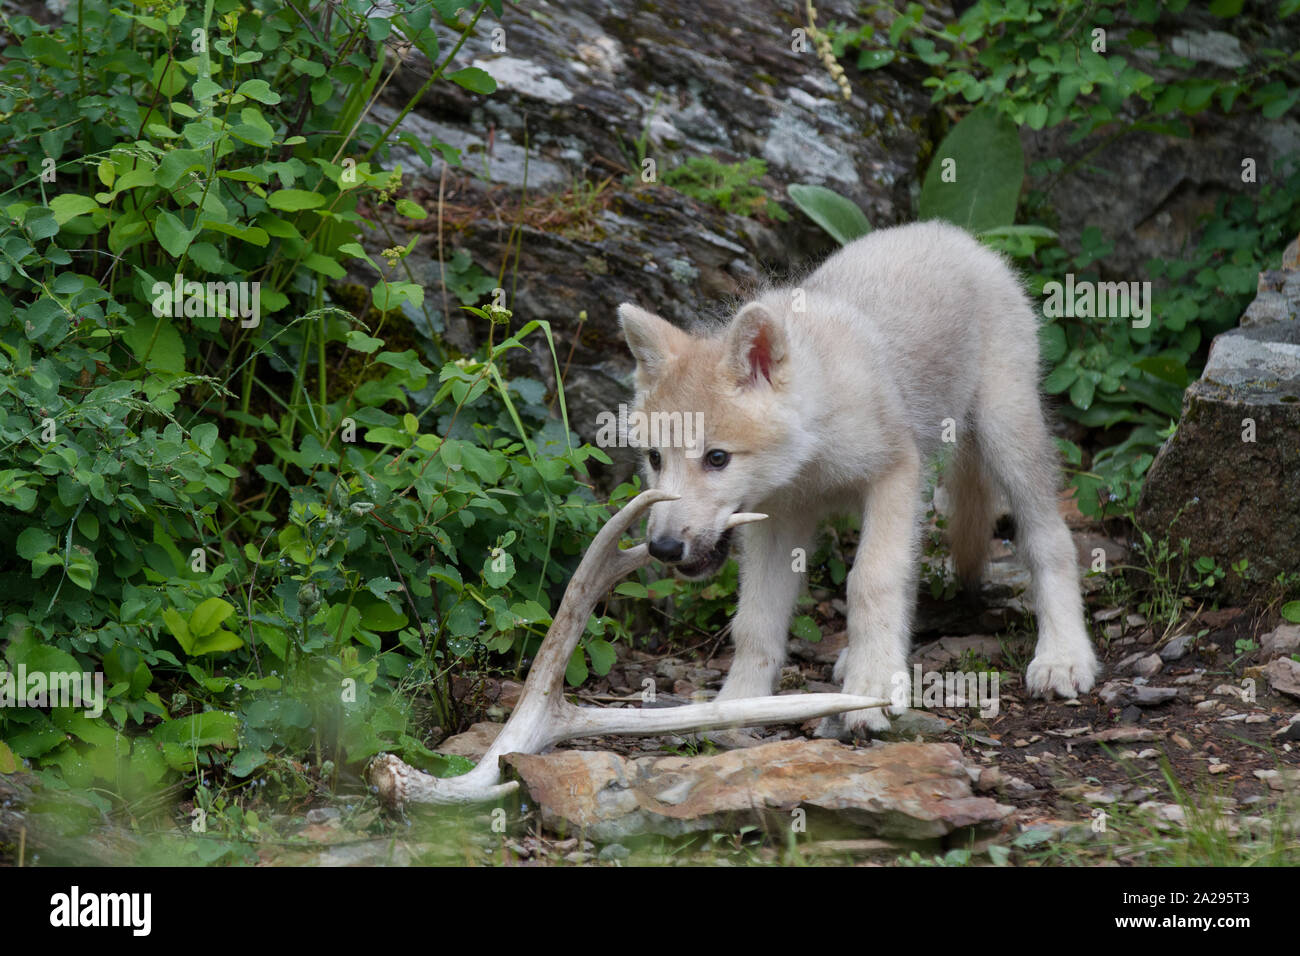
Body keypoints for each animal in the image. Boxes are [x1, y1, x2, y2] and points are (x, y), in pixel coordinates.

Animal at [617, 220, 1099, 737]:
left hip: (1005, 433)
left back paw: (1063, 657)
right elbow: (755, 618)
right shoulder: (778, 518)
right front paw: (738, 705)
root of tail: (954, 233)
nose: (663, 548)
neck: (813, 444)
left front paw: (871, 693)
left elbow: (870, 578)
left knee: (1050, 539)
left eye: (717, 458)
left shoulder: (896, 473)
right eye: (654, 458)